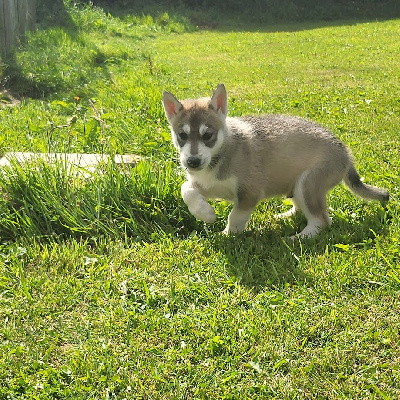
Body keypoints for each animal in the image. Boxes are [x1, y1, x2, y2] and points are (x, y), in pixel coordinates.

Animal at [161, 83, 390, 238]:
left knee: (322, 220)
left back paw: (299, 238)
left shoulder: (249, 193)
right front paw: (204, 213)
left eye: (208, 135)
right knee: (301, 209)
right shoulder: (207, 185)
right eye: (182, 135)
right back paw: (284, 217)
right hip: (296, 186)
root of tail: (345, 152)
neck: (221, 153)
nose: (192, 162)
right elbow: (186, 189)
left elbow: (235, 216)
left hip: (308, 184)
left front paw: (227, 235)